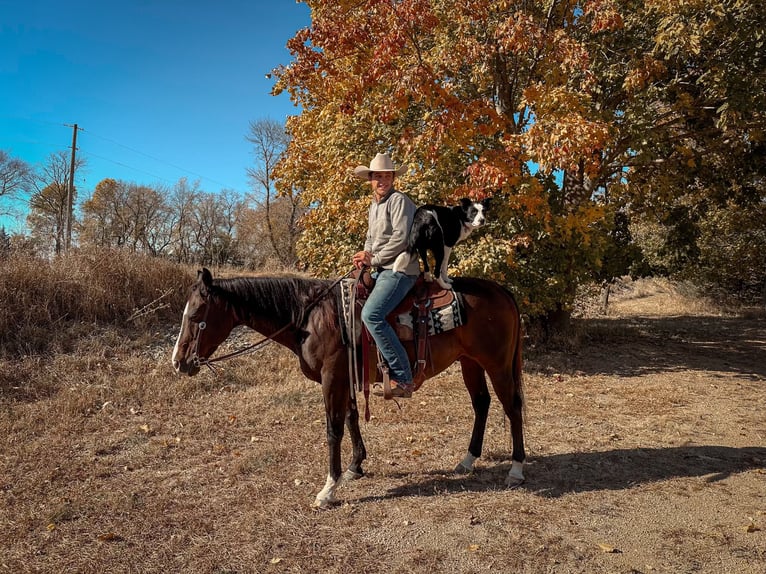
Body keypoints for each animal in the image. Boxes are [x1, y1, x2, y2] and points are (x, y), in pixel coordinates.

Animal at [171, 268, 524, 510]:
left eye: (196, 314)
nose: (178, 362)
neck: (311, 318)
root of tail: (502, 290)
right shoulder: (348, 378)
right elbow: (353, 418)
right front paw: (356, 467)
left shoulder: (333, 377)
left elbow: (333, 430)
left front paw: (328, 489)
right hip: (470, 362)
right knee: (482, 403)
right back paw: (467, 461)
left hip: (496, 363)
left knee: (512, 406)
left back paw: (516, 469)